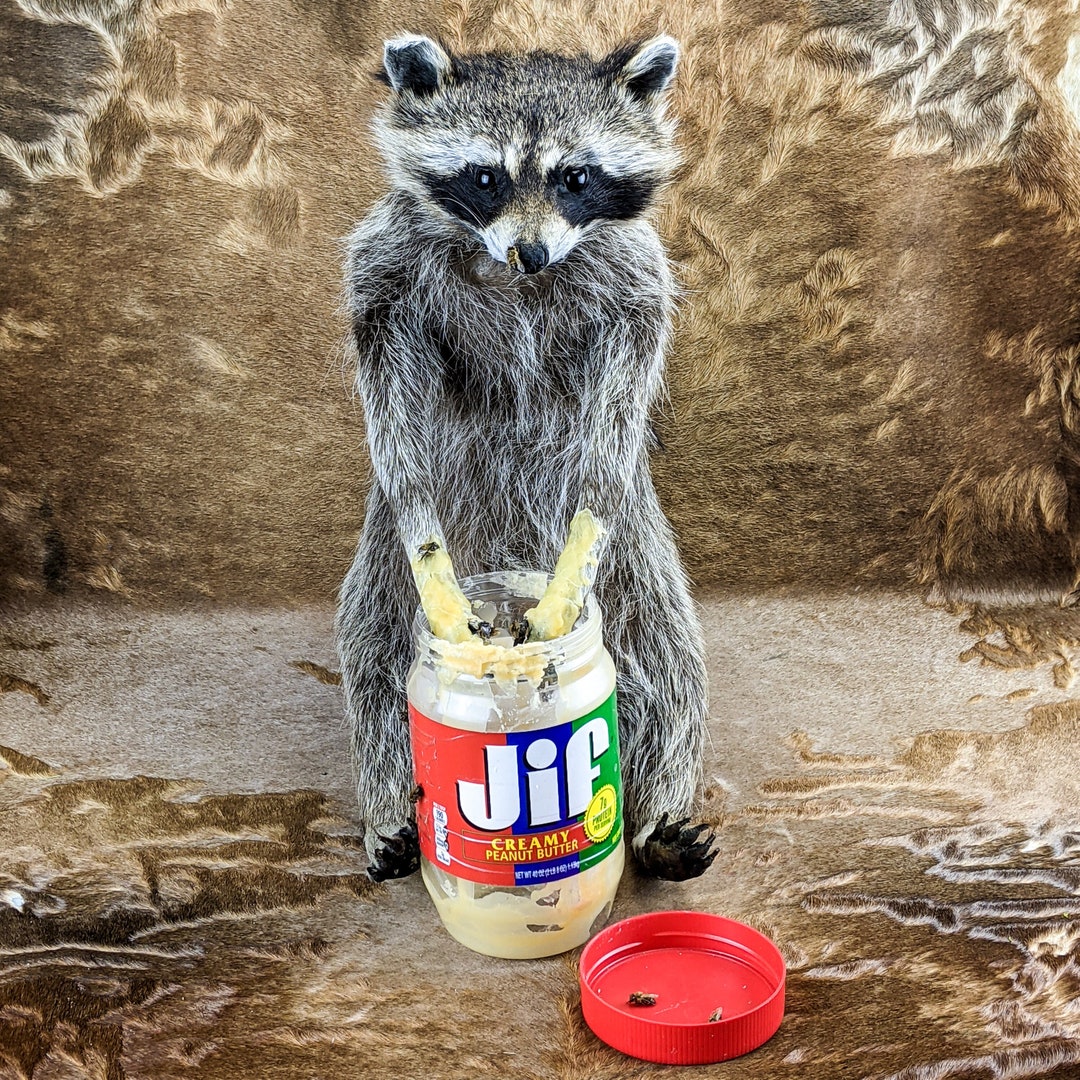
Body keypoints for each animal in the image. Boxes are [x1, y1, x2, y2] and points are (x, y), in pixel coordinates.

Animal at [337, 33, 716, 882]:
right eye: (487, 176)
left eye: (576, 177)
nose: (532, 252)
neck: (506, 269)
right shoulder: (388, 273)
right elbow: (390, 405)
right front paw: (419, 519)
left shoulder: (632, 277)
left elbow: (623, 400)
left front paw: (585, 526)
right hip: (384, 568)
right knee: (375, 651)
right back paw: (390, 804)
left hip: (637, 558)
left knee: (666, 659)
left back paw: (658, 815)